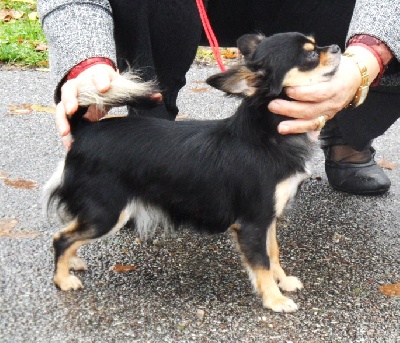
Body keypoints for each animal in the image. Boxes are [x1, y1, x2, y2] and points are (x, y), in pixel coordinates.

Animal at [44, 33, 340, 314]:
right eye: (311, 55)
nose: (337, 47)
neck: (268, 136)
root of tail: (83, 130)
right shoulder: (253, 222)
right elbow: (261, 263)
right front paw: (274, 299)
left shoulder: (268, 219)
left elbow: (273, 252)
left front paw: (283, 281)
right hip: (108, 213)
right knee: (61, 238)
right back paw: (63, 279)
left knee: (70, 233)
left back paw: (73, 262)